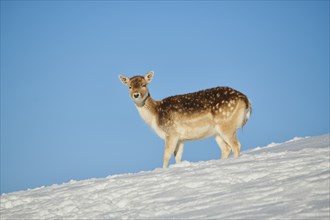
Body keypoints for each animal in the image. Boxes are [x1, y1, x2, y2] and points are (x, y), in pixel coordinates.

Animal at [120, 71, 251, 168]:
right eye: (129, 87)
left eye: (144, 85)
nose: (136, 95)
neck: (155, 115)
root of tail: (246, 100)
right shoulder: (180, 139)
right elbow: (177, 157)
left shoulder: (171, 133)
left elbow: (166, 156)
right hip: (216, 132)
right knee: (226, 148)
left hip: (226, 124)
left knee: (236, 145)